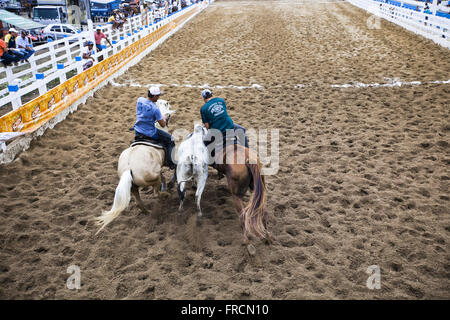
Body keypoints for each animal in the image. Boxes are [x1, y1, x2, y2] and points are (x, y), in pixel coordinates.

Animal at [96, 99, 176, 234]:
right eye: (166, 104)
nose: (169, 104)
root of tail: (129, 168)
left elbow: (164, 177)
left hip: (134, 187)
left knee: (139, 202)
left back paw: (147, 211)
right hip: (152, 180)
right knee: (156, 193)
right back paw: (165, 195)